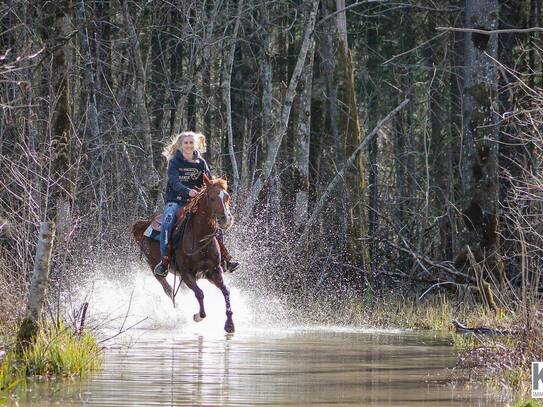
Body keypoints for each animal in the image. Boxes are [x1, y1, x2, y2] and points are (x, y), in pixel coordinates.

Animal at [133, 174, 235, 334]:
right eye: (211, 198)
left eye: (227, 196)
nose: (226, 219)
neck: (200, 238)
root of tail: (145, 224)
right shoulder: (187, 274)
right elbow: (200, 293)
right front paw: (198, 316)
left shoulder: (214, 271)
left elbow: (226, 291)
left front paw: (229, 324)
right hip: (153, 265)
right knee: (168, 290)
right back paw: (179, 311)